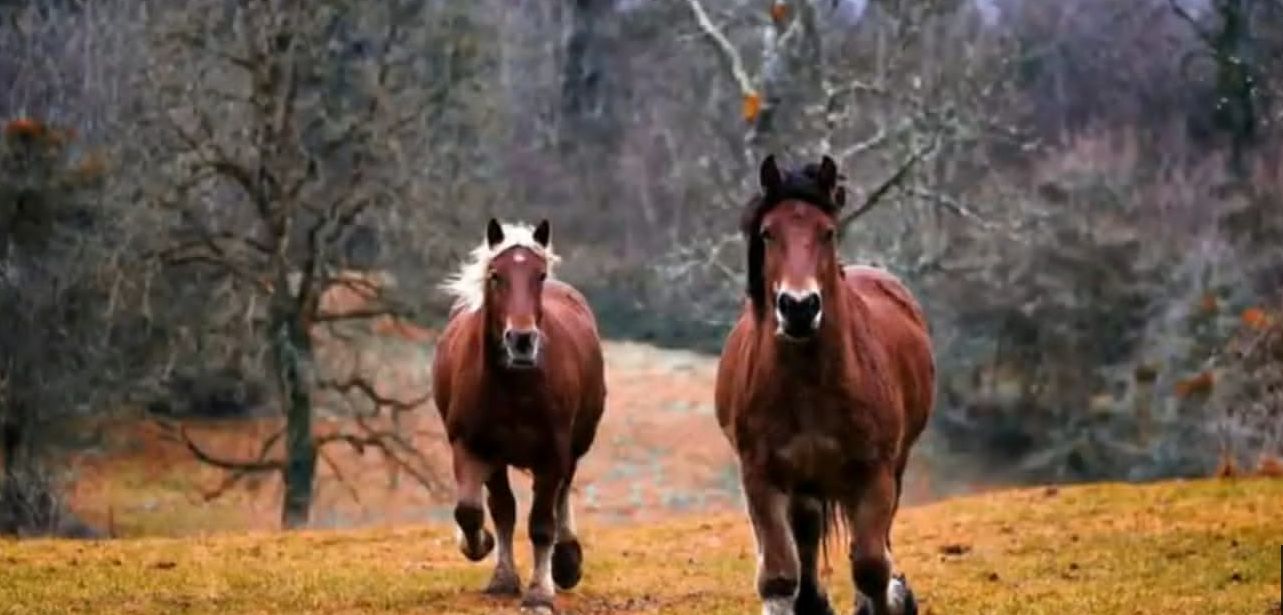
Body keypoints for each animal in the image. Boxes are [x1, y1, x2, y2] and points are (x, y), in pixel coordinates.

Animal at [433, 219, 608, 613]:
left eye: (539, 275)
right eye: (496, 275)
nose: (522, 340)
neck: (515, 385)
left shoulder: (552, 453)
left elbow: (541, 523)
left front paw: (541, 592)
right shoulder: (472, 446)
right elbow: (476, 511)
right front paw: (486, 556)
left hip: (575, 445)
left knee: (561, 494)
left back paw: (566, 562)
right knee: (503, 508)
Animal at [713, 155, 934, 615]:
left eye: (827, 232)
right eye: (768, 232)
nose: (799, 308)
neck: (809, 384)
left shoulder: (874, 472)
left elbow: (870, 565)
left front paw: (888, 598)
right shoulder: (761, 475)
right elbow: (779, 575)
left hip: (892, 466)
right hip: (806, 481)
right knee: (807, 532)